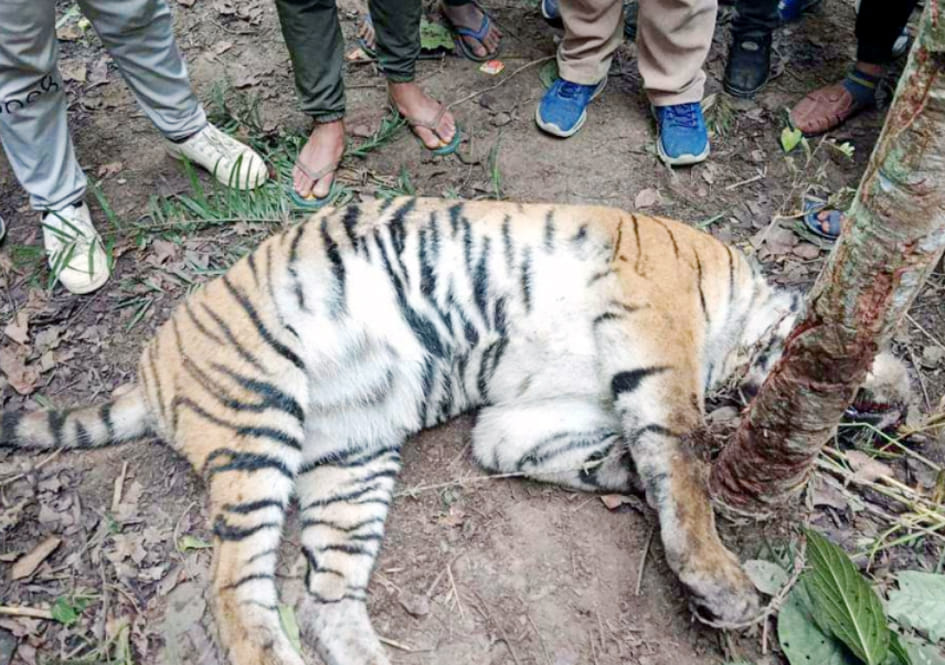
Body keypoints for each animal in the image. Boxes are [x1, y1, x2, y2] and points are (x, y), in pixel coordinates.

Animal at [0, 197, 901, 665]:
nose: (890, 404)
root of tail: (150, 370)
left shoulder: (515, 417)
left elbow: (584, 450)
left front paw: (630, 475)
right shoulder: (654, 319)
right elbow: (676, 452)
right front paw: (719, 577)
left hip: (353, 459)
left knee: (326, 598)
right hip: (259, 418)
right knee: (238, 594)